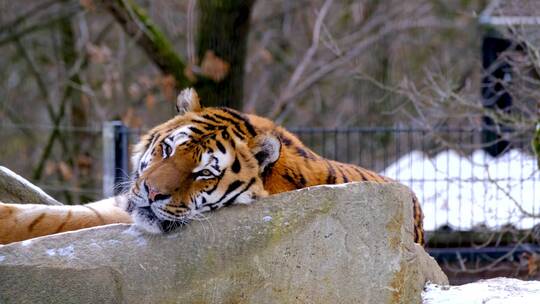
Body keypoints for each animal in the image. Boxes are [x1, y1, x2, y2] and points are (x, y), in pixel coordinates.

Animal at [0, 88, 422, 245]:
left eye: (204, 173)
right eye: (167, 149)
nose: (152, 192)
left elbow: (46, 222)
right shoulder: (118, 205)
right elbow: (53, 215)